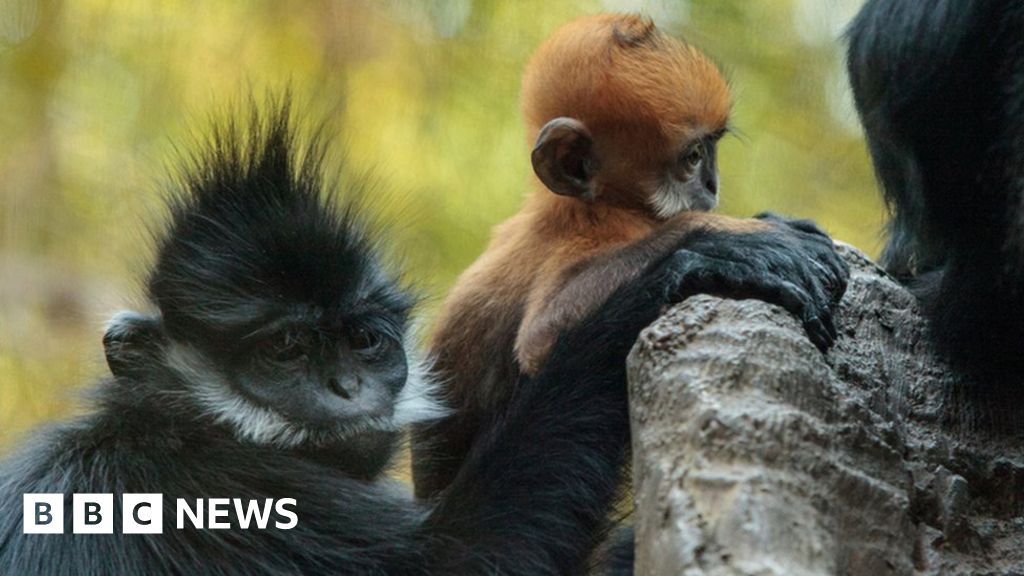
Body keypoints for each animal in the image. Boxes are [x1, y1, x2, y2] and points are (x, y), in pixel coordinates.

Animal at [0, 104, 843, 573]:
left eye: (363, 341)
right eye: (284, 351)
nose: (347, 390)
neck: (172, 428)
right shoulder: (221, 495)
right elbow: (466, 560)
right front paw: (690, 263)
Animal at [409, 14, 847, 498]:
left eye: (712, 150)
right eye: (694, 157)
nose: (712, 184)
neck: (593, 207)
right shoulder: (586, 234)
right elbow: (541, 338)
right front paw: (737, 240)